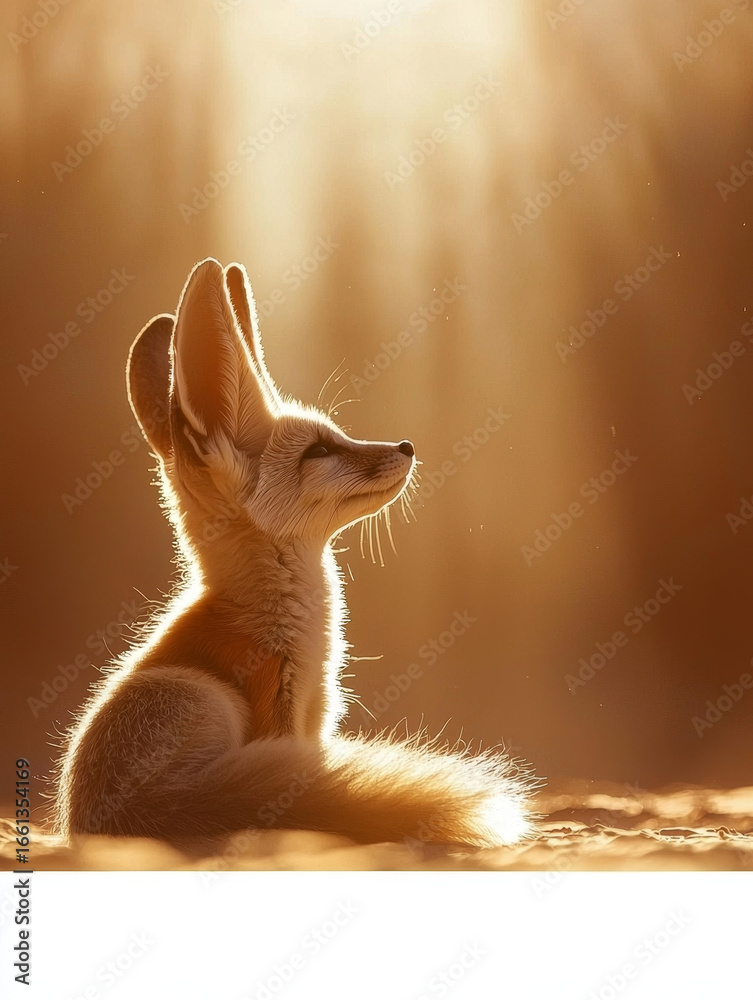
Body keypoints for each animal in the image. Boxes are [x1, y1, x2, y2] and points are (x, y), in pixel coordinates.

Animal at [52, 257, 535, 851]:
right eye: (319, 451)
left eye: (336, 435)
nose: (406, 447)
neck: (293, 624)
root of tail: (124, 815)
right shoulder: (279, 708)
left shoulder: (313, 715)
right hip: (206, 699)